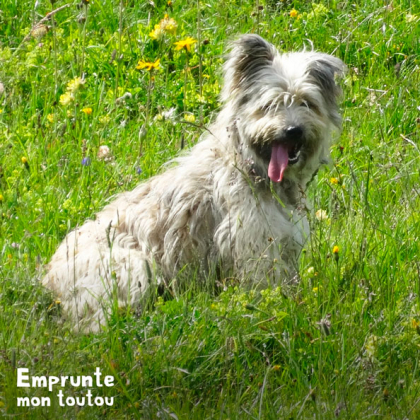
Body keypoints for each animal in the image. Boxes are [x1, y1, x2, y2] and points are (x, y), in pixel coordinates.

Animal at [42, 34, 344, 332]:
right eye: (270, 105)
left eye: (306, 103)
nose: (293, 130)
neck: (250, 167)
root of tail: (48, 278)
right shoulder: (253, 244)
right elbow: (264, 286)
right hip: (133, 266)